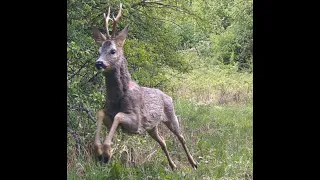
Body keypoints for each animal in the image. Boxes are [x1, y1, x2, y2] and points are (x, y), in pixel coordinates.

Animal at [92, 3, 198, 170]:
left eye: (113, 51)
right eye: (99, 50)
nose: (99, 63)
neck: (118, 98)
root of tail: (168, 96)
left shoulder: (136, 122)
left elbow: (119, 115)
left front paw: (107, 152)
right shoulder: (112, 118)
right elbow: (101, 112)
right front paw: (99, 152)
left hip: (171, 116)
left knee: (181, 137)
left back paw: (193, 163)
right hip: (152, 127)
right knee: (163, 141)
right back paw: (173, 166)